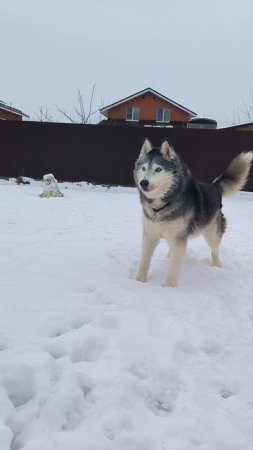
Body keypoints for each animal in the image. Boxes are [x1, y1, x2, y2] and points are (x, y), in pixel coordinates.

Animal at [133, 137, 252, 286]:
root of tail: (214, 186)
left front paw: (168, 287)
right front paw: (138, 281)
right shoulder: (149, 234)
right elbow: (144, 260)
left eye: (158, 169)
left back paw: (216, 266)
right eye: (143, 168)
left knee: (215, 250)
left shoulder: (178, 239)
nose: (143, 182)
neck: (161, 204)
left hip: (211, 233)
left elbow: (173, 268)